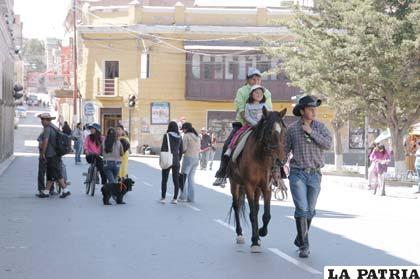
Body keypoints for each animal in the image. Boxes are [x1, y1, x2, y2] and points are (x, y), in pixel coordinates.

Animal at [226, 107, 288, 254]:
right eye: (269, 131)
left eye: (284, 130)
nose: (281, 160)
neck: (260, 157)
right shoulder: (249, 185)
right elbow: (252, 213)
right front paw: (254, 241)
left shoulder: (266, 186)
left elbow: (266, 214)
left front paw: (261, 232)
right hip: (234, 183)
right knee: (237, 206)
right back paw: (240, 234)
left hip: (257, 188)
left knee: (256, 207)